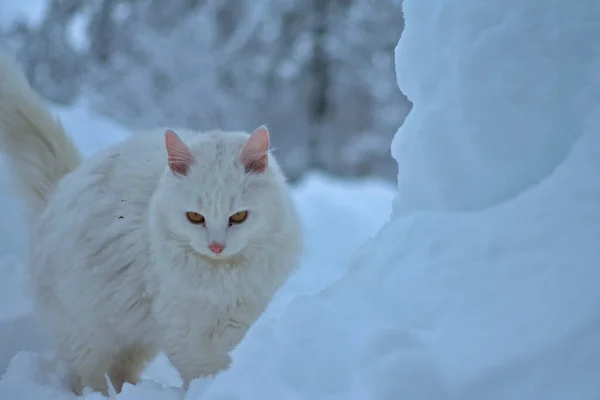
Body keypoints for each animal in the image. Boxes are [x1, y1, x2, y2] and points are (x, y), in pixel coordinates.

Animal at [0, 50, 302, 394]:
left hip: (131, 338)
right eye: (195, 217)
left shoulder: (245, 310)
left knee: (122, 371)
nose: (216, 246)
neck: (224, 277)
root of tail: (60, 188)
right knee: (89, 377)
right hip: (88, 334)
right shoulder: (185, 329)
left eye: (238, 216)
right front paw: (214, 387)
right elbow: (205, 369)